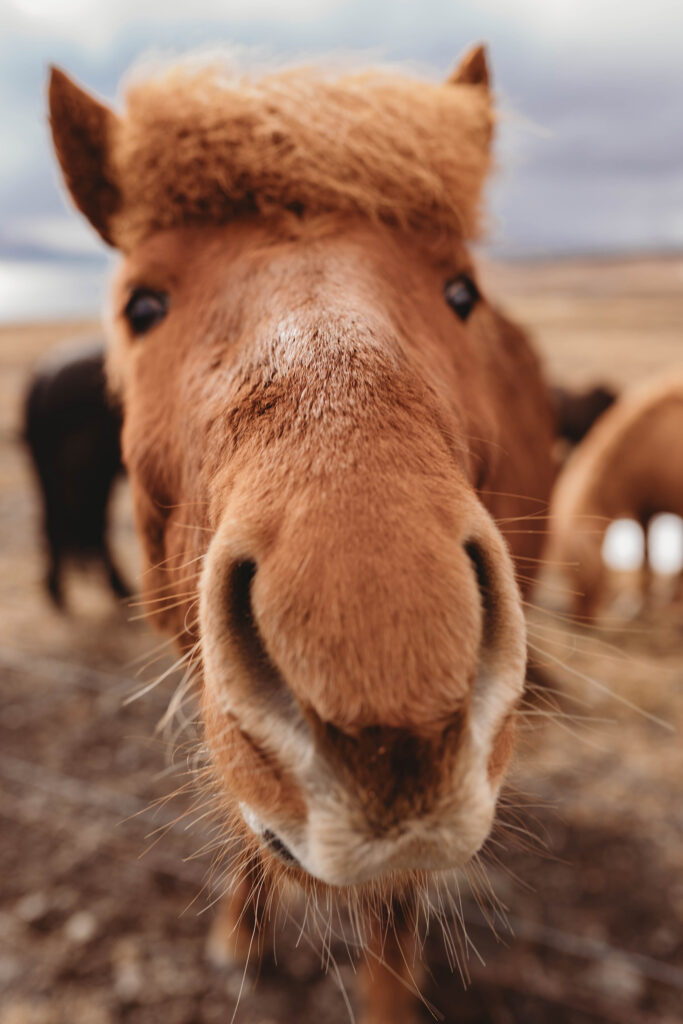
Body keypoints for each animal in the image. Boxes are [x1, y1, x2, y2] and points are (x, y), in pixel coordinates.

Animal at [549, 374, 683, 620]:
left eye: (580, 568)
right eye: (565, 572)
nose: (579, 619)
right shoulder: (644, 510)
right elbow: (645, 557)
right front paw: (638, 603)